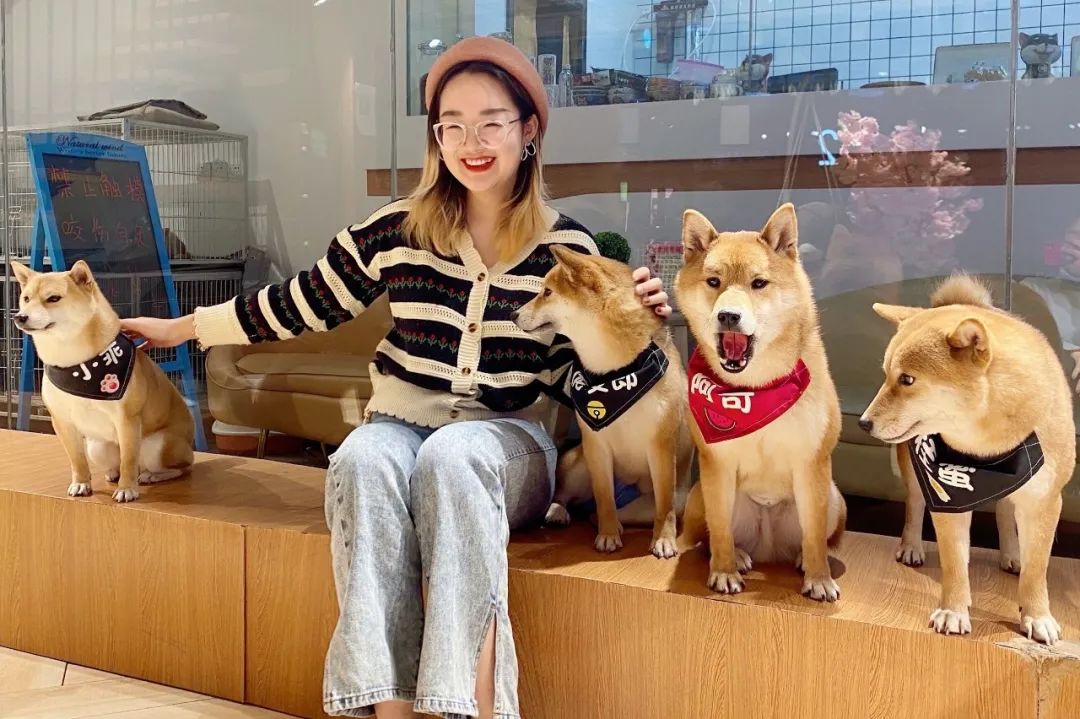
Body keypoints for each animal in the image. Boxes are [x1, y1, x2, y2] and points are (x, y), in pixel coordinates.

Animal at [12, 260, 194, 503]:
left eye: (53, 298)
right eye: (26, 298)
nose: (20, 317)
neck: (75, 363)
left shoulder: (127, 419)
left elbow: (129, 460)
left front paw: (127, 489)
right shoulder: (62, 422)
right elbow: (77, 460)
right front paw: (81, 483)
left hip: (157, 445)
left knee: (178, 466)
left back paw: (151, 476)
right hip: (96, 446)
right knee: (119, 463)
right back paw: (113, 473)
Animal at [512, 246, 693, 558]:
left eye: (547, 292)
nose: (513, 314)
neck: (614, 374)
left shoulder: (661, 447)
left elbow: (665, 506)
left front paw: (663, 539)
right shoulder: (597, 446)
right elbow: (604, 497)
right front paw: (608, 535)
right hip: (579, 463)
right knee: (567, 495)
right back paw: (560, 512)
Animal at [675, 204, 846, 601]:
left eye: (758, 283)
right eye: (714, 282)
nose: (728, 315)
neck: (755, 389)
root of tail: (768, 549)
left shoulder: (811, 463)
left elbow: (815, 534)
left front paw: (819, 577)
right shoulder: (717, 466)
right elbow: (720, 531)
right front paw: (724, 571)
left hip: (833, 498)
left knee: (810, 538)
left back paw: (801, 560)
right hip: (700, 496)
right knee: (708, 539)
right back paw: (737, 557)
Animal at [860, 274, 1075, 644]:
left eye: (907, 379)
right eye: (887, 375)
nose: (864, 422)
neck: (989, 446)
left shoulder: (1044, 502)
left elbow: (1037, 570)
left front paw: (1037, 615)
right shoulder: (950, 498)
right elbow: (955, 564)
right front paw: (953, 611)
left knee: (1004, 511)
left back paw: (1012, 554)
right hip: (914, 471)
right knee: (915, 505)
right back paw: (911, 546)